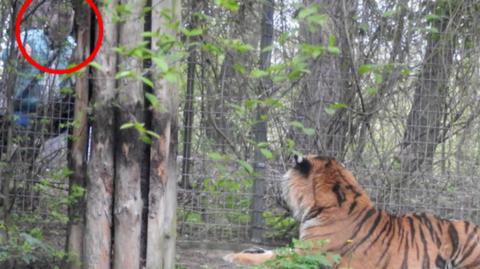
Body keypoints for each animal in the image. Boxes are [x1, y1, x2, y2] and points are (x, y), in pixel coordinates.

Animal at [224, 154, 480, 266]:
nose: (276, 193)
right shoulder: (302, 246)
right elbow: (271, 250)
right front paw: (250, 249)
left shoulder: (309, 254)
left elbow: (272, 257)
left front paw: (233, 256)